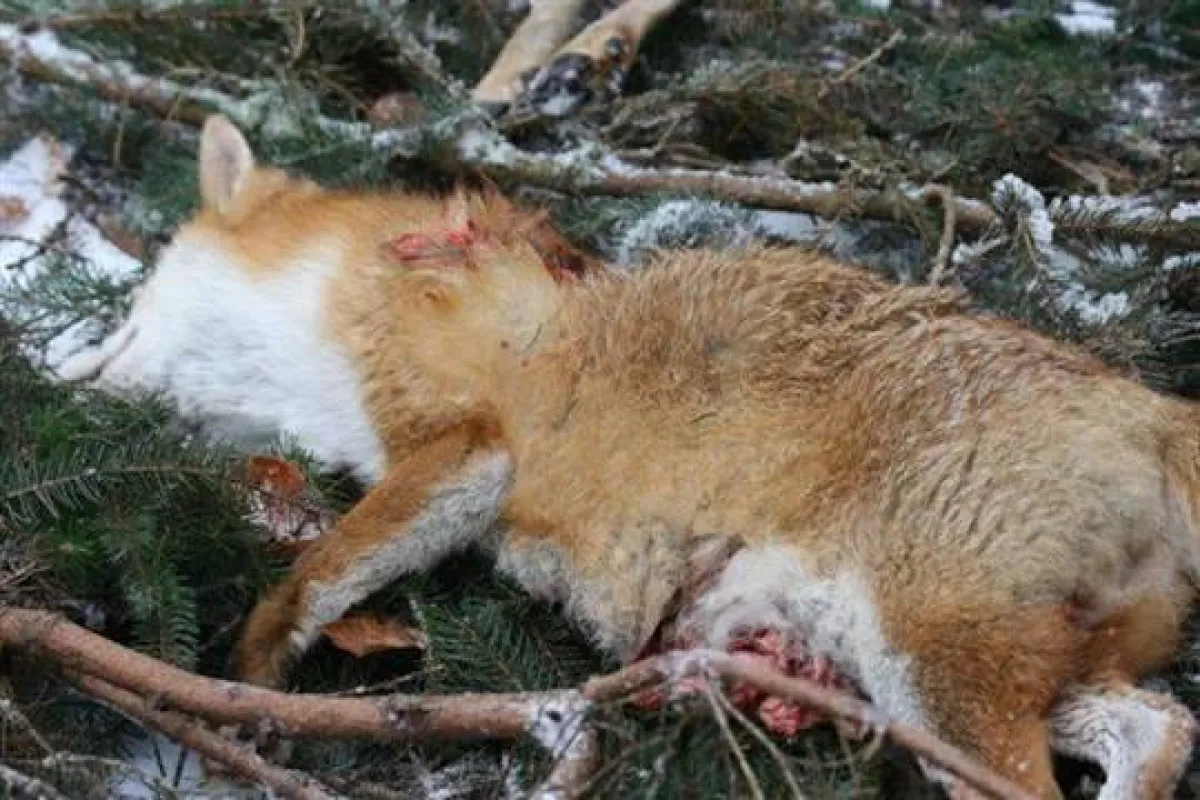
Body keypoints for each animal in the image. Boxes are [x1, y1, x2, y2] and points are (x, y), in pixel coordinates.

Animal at [56, 114, 1200, 800]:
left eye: (123, 320)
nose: (60, 375)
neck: (351, 292)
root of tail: (1146, 405)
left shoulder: (467, 450)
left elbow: (318, 575)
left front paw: (248, 688)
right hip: (965, 675)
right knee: (1166, 727)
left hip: (935, 681)